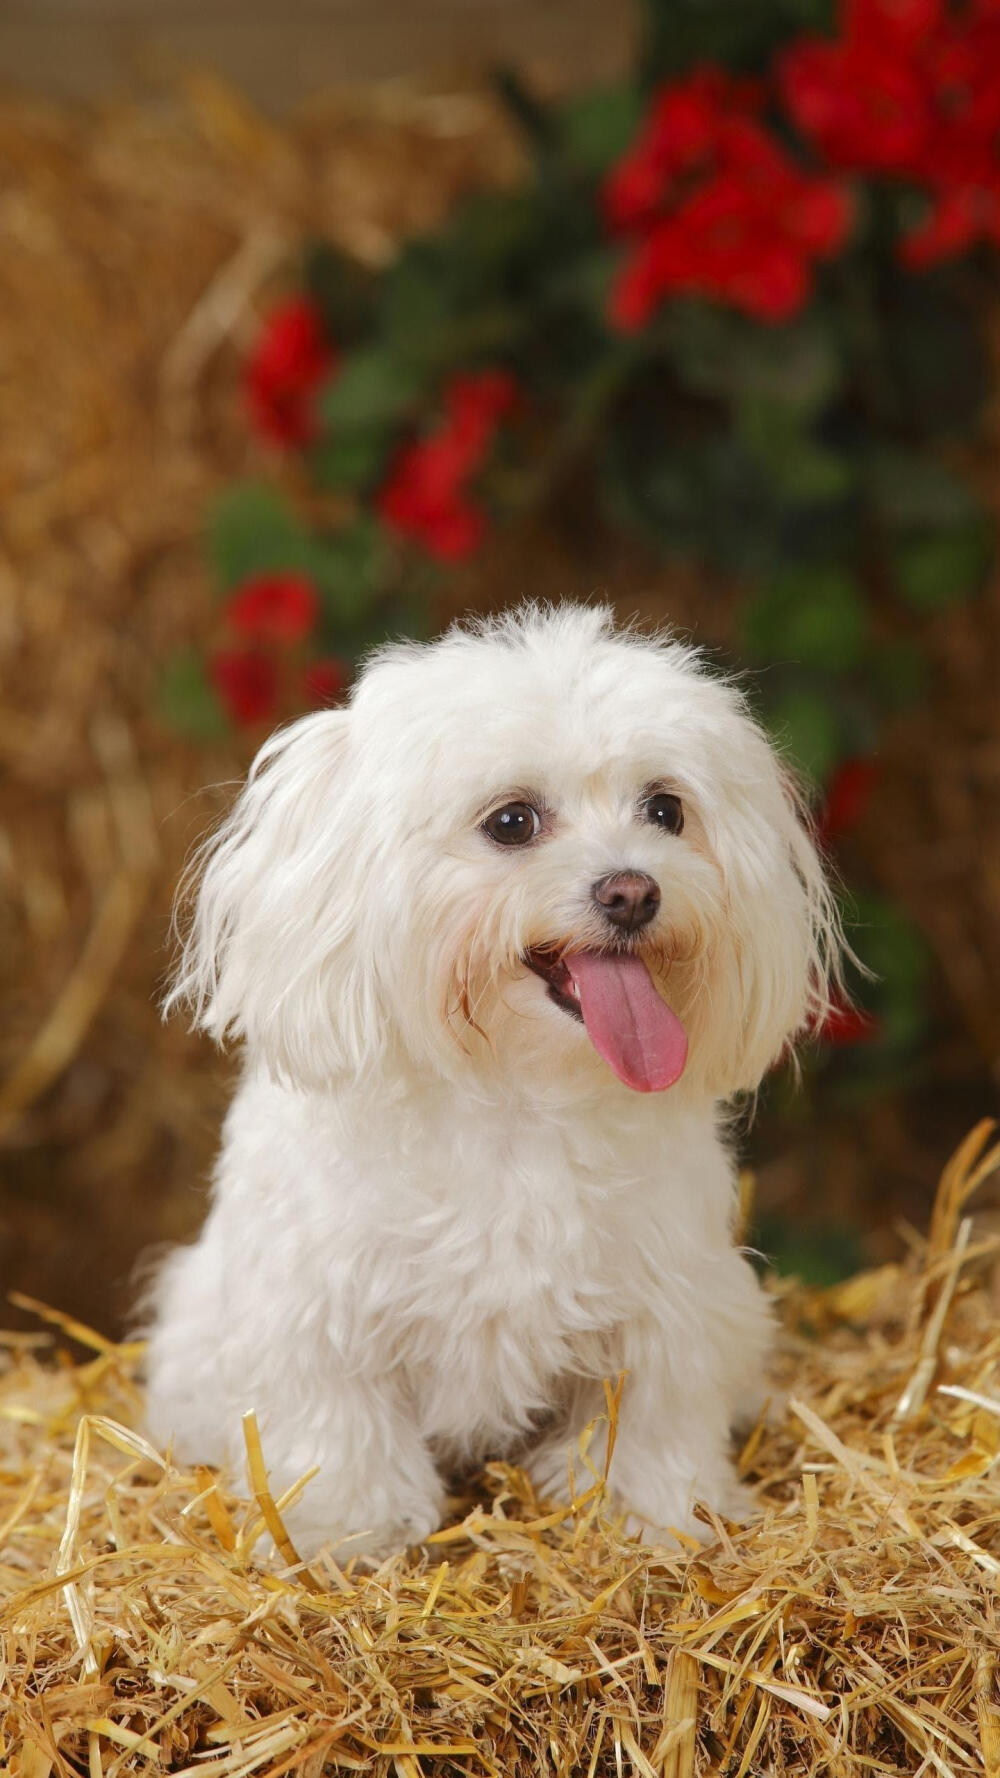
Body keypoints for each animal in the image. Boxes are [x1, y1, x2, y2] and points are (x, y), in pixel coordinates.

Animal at [144, 608, 836, 1557]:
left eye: (666, 809)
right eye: (512, 821)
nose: (633, 891)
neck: (518, 1094)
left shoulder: (670, 1304)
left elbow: (650, 1418)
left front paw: (656, 1514)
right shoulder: (317, 1312)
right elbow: (340, 1428)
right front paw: (340, 1529)